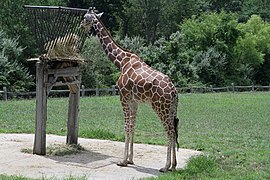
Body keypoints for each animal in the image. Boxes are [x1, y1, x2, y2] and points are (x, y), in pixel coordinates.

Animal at [81, 8, 180, 172]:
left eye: (85, 17)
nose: (81, 26)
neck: (121, 62)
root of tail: (173, 91)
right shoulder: (134, 101)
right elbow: (132, 127)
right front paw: (130, 159)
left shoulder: (123, 97)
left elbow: (126, 127)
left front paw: (122, 161)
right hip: (172, 108)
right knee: (174, 130)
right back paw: (173, 165)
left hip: (160, 107)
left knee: (170, 131)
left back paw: (166, 166)